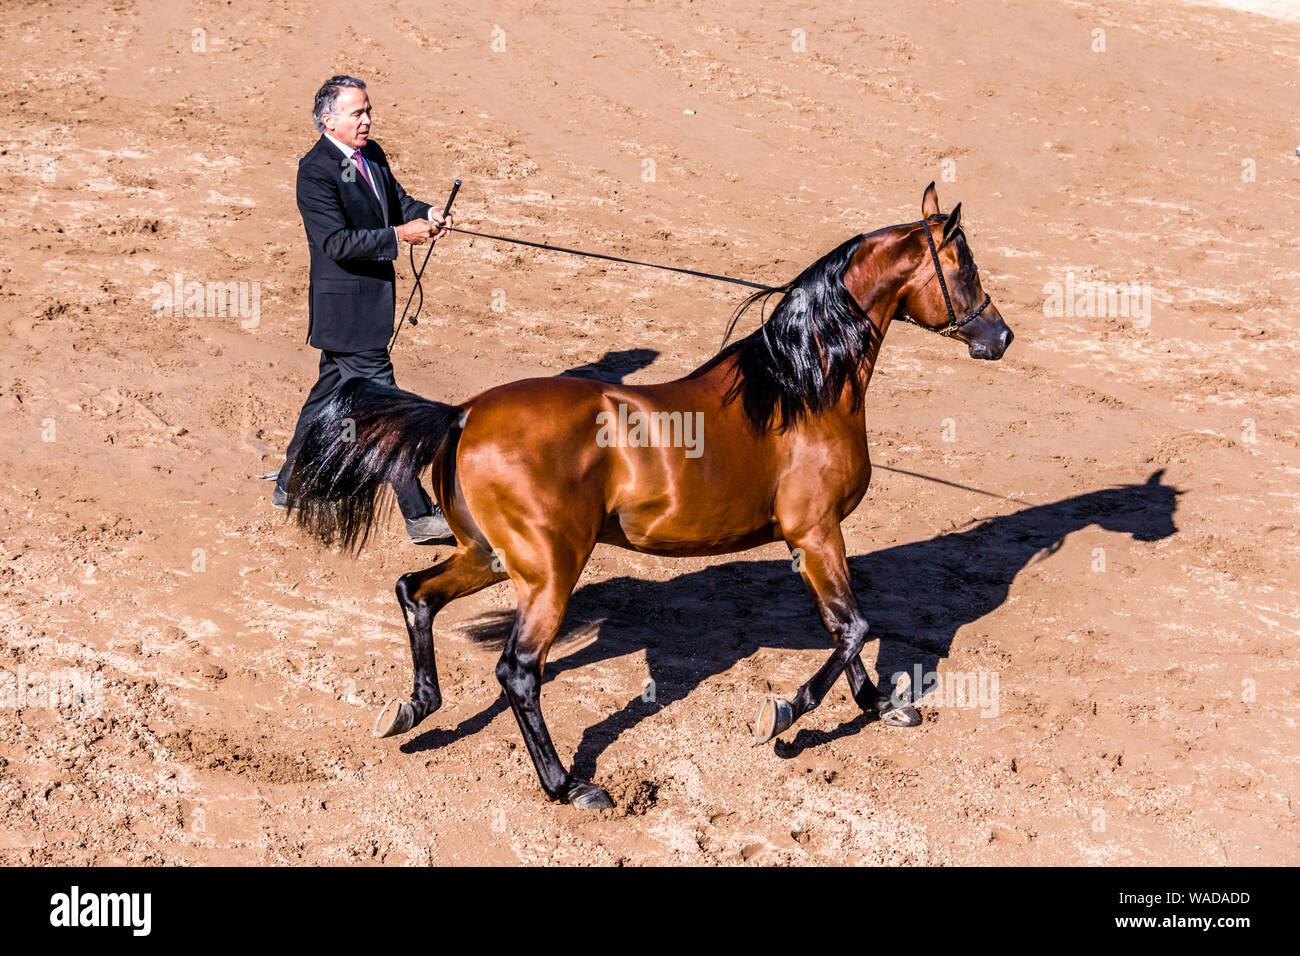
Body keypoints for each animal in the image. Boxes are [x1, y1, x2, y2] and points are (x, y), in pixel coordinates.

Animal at [286, 183, 1015, 810]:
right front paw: (780, 715)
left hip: (488, 557)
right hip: (549, 571)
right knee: (518, 670)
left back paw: (413, 708)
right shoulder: (815, 532)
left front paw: (883, 706)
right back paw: (570, 785)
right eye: (965, 265)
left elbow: (844, 627)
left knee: (416, 593)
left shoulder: (811, 540)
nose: (1000, 337)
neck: (798, 387)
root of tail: (462, 415)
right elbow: (855, 627)